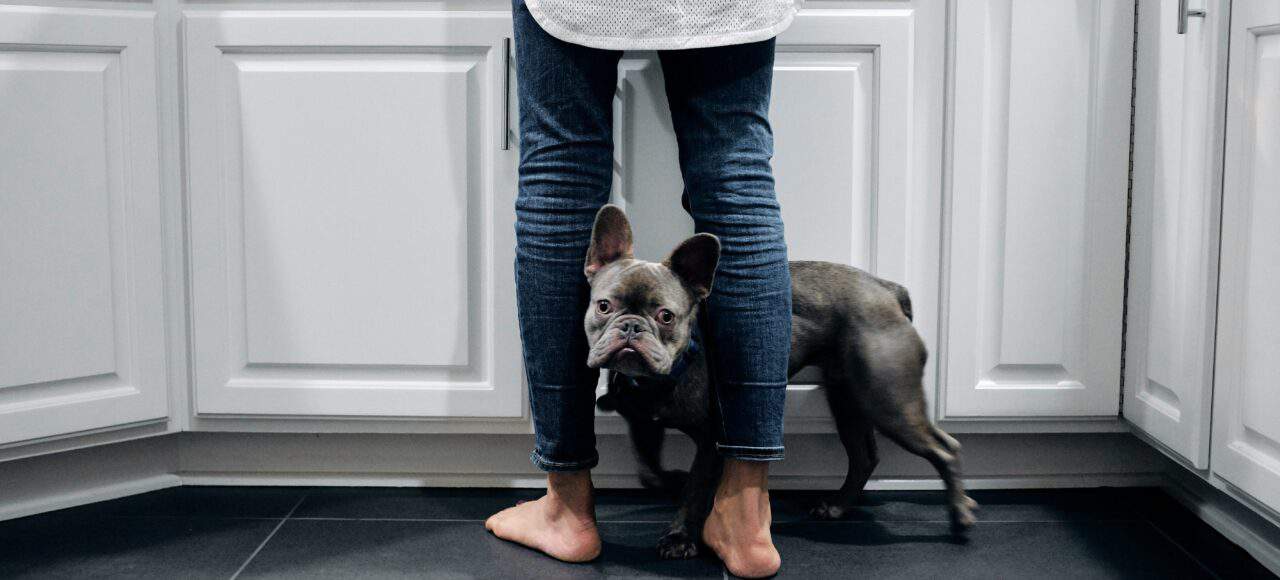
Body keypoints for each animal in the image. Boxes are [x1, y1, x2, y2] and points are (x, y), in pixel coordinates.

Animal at [583, 203, 977, 555]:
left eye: (666, 316)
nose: (631, 327)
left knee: (945, 447)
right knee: (864, 456)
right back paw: (837, 506)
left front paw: (680, 536)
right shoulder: (643, 424)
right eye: (603, 306)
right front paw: (674, 481)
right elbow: (650, 471)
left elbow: (694, 490)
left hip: (888, 399)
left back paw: (960, 516)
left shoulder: (712, 438)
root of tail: (887, 290)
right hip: (848, 399)